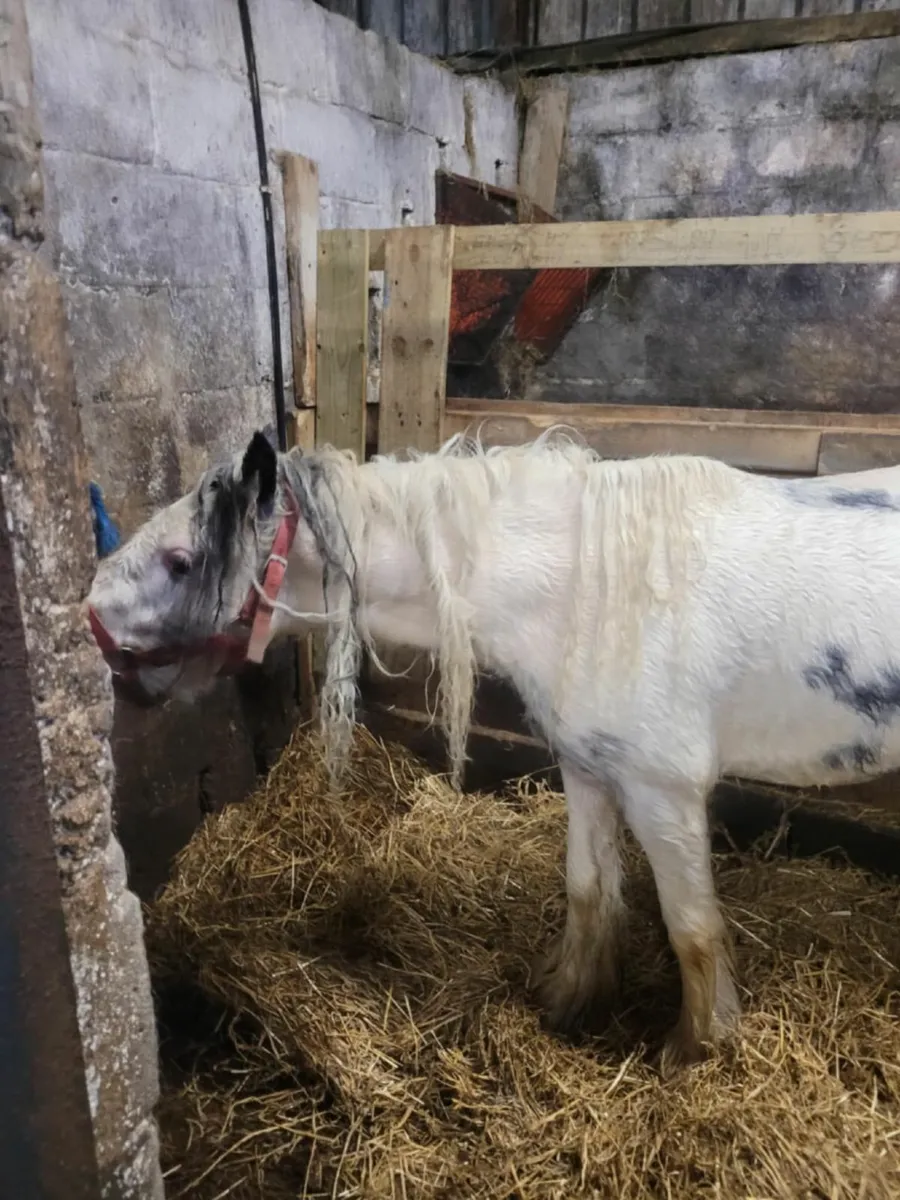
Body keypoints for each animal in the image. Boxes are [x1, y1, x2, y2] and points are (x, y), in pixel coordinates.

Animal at [87, 428, 900, 1070]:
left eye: (181, 560)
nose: (91, 618)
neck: (588, 588)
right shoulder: (589, 771)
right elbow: (588, 889)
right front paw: (566, 1000)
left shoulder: (663, 792)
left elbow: (692, 929)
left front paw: (697, 1050)